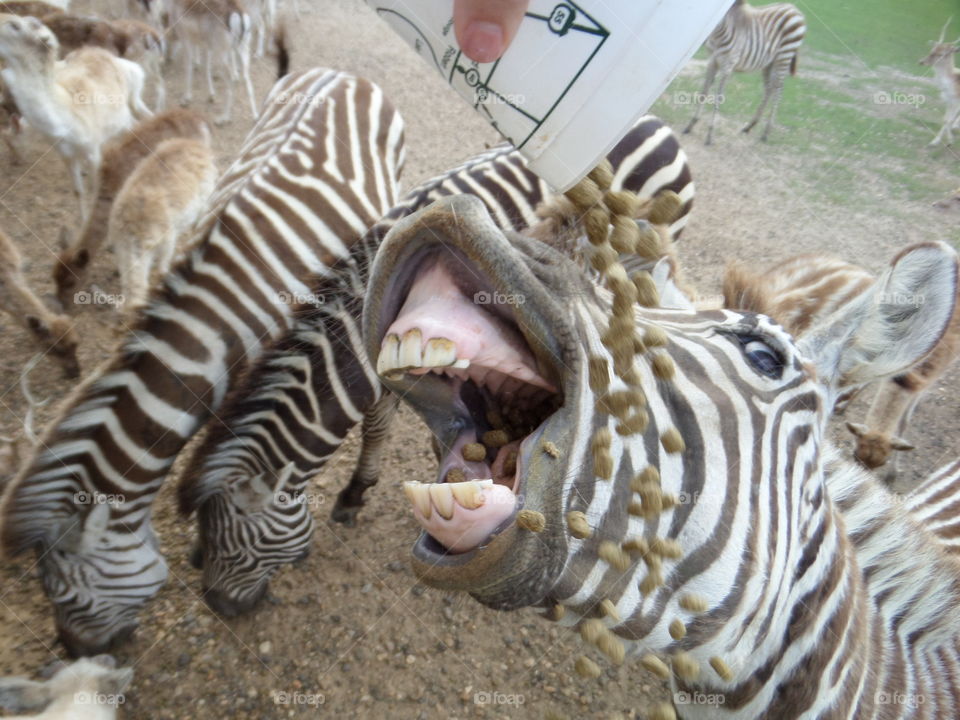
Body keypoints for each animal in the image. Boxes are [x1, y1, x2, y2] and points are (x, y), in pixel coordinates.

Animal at [176, 115, 692, 616]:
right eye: (200, 548)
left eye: (231, 548)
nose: (221, 610)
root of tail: (658, 122)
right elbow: (382, 427)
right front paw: (360, 489)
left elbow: (378, 429)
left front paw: (354, 494)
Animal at [684, 0, 808, 145]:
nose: (703, 40)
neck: (721, 33)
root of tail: (794, 9)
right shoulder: (713, 60)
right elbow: (703, 92)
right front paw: (691, 125)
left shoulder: (728, 65)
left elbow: (718, 97)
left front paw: (710, 134)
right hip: (769, 63)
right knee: (769, 89)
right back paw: (750, 126)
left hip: (783, 57)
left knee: (778, 90)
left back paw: (766, 132)